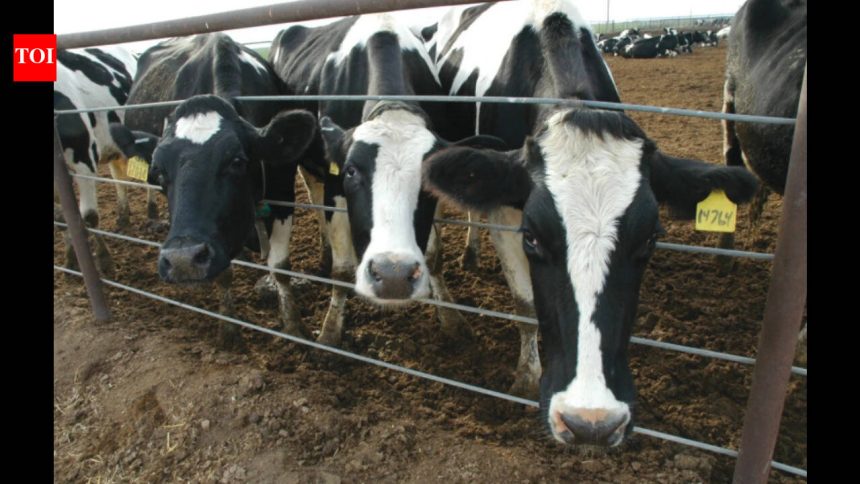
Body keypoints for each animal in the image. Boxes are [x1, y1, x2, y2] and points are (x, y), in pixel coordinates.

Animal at [54, 45, 140, 278]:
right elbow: (62, 219)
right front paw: (70, 259)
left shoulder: (85, 158)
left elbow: (89, 216)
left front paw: (104, 261)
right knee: (119, 176)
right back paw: (123, 215)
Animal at [114, 33, 318, 348]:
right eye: (159, 172)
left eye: (236, 161)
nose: (183, 260)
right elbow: (224, 273)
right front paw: (229, 329)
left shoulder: (283, 190)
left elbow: (281, 265)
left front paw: (294, 327)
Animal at [269, 13, 505, 346]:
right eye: (351, 171)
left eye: (427, 178)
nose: (393, 275)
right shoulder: (336, 184)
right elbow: (343, 270)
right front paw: (330, 332)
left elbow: (433, 256)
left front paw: (452, 320)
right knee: (314, 194)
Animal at [423, 0, 759, 446]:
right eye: (532, 238)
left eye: (650, 239)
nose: (590, 422)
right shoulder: (507, 210)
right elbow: (525, 302)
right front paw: (527, 376)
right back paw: (449, 312)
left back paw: (470, 255)